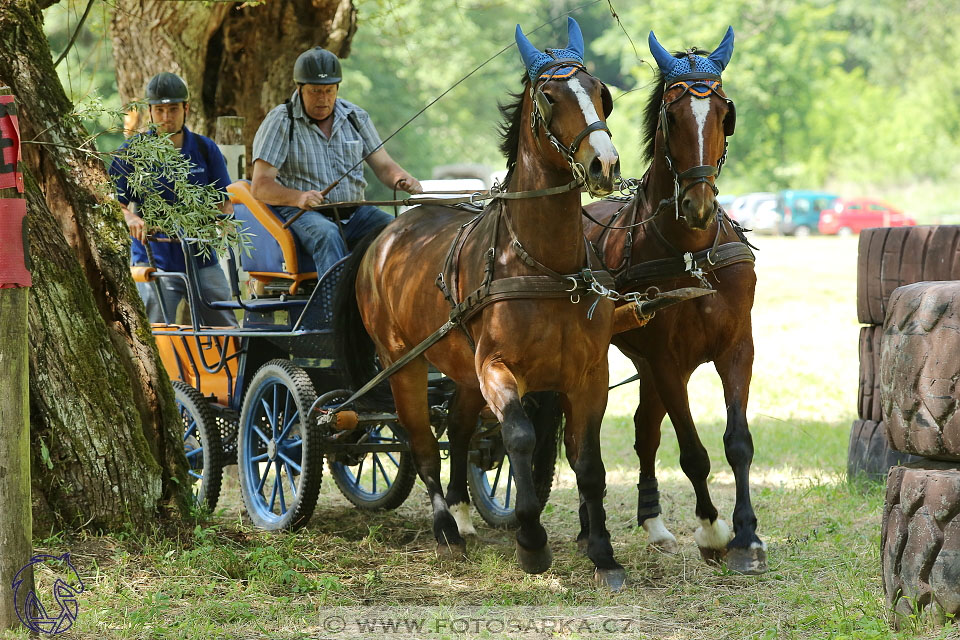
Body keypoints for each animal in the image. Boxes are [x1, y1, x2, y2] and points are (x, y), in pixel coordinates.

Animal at [338, 18, 632, 592]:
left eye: (602, 93)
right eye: (549, 97)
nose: (603, 163)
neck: (543, 264)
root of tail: (387, 233)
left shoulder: (589, 374)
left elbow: (588, 463)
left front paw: (604, 555)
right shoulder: (498, 368)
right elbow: (518, 437)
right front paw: (531, 540)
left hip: (460, 368)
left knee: (457, 429)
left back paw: (463, 516)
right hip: (403, 364)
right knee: (422, 443)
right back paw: (445, 531)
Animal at [580, 26, 768, 576]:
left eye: (725, 113)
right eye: (671, 115)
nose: (699, 204)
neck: (692, 250)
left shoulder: (736, 349)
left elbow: (737, 444)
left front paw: (747, 536)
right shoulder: (666, 360)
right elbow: (692, 452)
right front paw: (712, 531)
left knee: (644, 430)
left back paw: (655, 525)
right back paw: (588, 530)